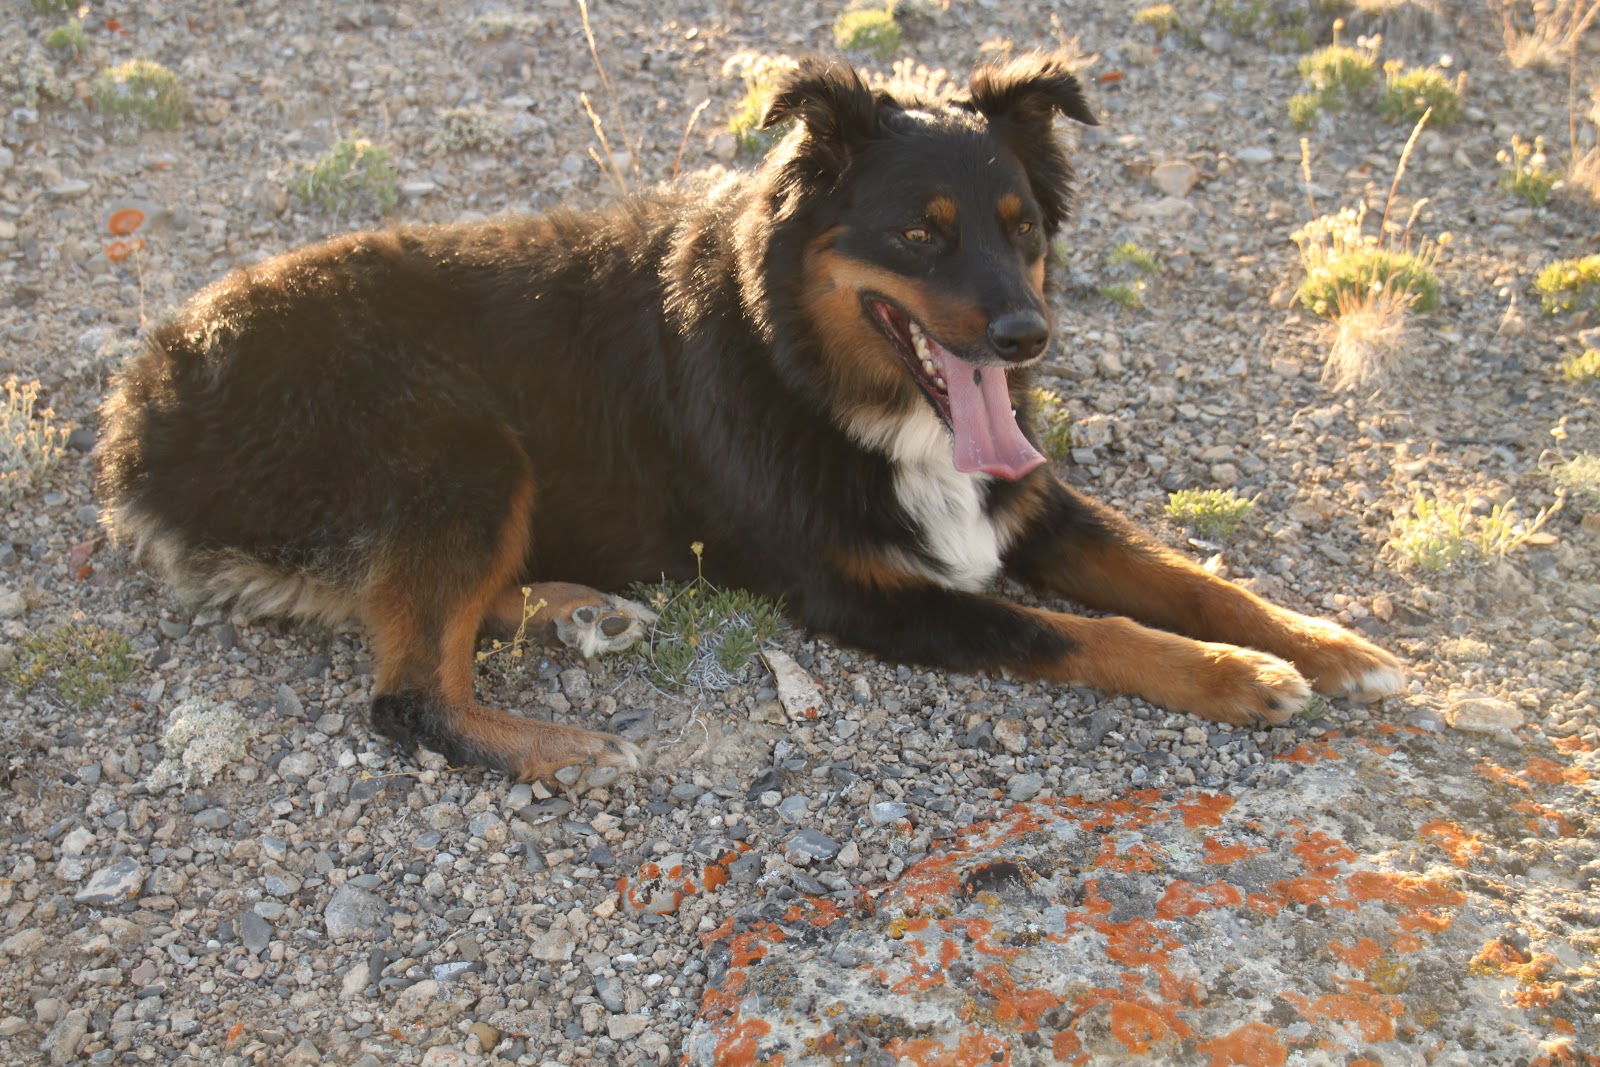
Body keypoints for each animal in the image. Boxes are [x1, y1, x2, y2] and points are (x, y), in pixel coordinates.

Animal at [95, 52, 1404, 783]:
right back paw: (566, 746)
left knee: (416, 617)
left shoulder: (1020, 500)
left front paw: (1320, 639)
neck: (809, 370)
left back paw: (581, 610)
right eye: (920, 232)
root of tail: (149, 395)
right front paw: (1240, 675)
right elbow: (1082, 631)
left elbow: (1186, 576)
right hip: (459, 442)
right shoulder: (861, 589)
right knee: (407, 691)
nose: (1027, 336)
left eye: (1022, 225)